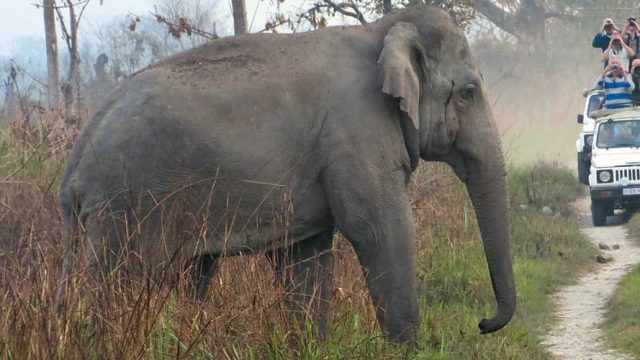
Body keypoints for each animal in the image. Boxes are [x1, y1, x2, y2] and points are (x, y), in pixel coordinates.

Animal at [60, 5, 516, 344]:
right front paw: (407, 349)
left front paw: (310, 344)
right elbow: (379, 229)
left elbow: (305, 254)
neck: (380, 29)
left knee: (187, 274)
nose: (482, 323)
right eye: (469, 92)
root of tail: (75, 163)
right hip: (125, 207)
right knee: (121, 283)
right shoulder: (355, 131)